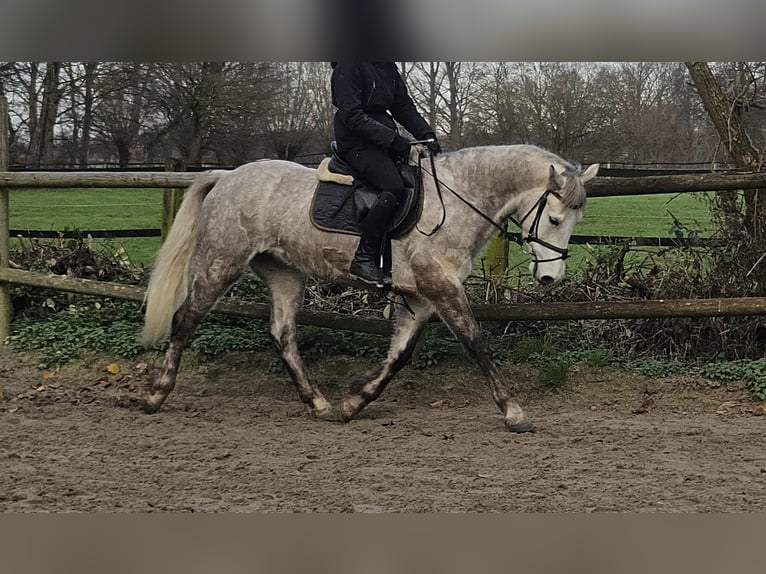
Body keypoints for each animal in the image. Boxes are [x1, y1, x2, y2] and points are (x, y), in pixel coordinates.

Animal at [140, 144, 599, 432]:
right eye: (554, 219)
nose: (550, 278)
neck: (458, 201)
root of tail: (227, 176)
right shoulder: (441, 287)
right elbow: (476, 342)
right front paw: (514, 412)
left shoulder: (421, 297)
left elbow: (399, 357)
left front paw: (353, 402)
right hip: (219, 264)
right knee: (185, 320)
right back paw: (156, 396)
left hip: (285, 274)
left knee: (282, 333)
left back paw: (318, 403)